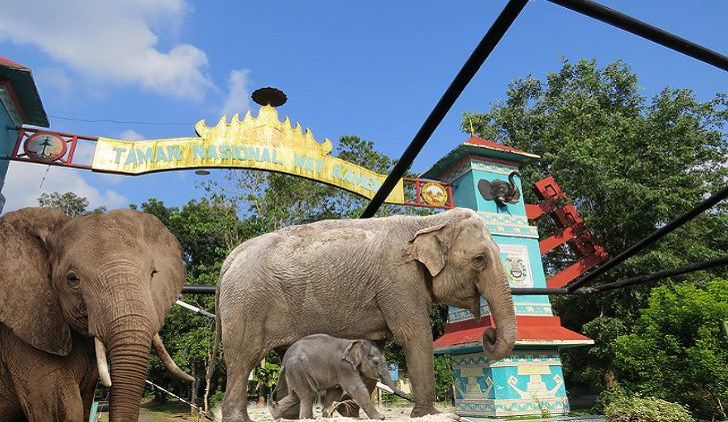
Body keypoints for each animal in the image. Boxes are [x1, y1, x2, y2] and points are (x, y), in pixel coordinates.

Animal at [270, 332, 404, 418]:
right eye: (375, 362)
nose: (407, 396)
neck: (353, 342)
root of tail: (284, 359)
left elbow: (335, 392)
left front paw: (327, 417)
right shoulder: (344, 367)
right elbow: (356, 389)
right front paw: (380, 417)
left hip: (293, 372)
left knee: (294, 396)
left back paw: (274, 414)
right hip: (298, 369)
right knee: (308, 394)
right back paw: (308, 419)